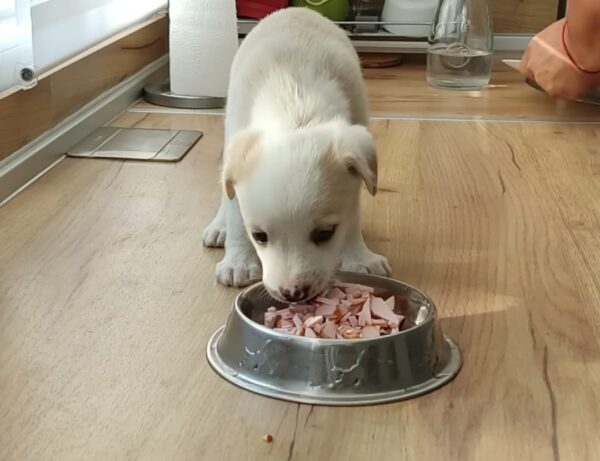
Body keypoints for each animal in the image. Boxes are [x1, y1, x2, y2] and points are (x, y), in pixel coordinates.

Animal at [205, 8, 394, 302]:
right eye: (259, 236)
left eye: (325, 233)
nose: (292, 294)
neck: (295, 106)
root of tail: (296, 9)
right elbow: (236, 214)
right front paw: (238, 263)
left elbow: (352, 216)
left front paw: (359, 256)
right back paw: (219, 227)